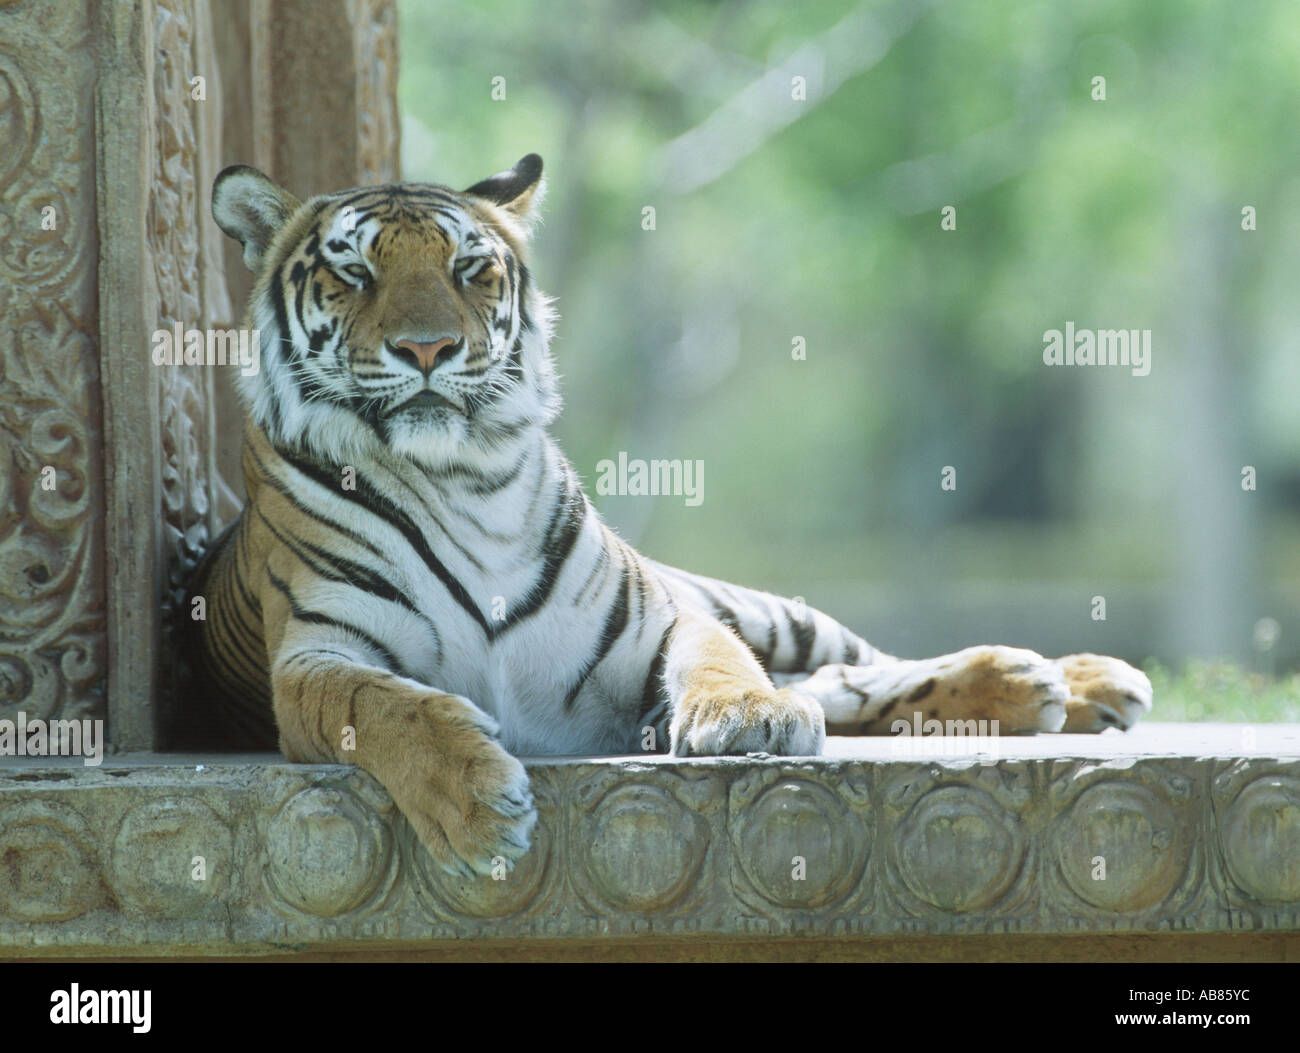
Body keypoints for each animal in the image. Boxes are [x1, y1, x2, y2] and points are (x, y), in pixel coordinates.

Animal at [180, 154, 1149, 878]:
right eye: (354, 272)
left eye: (468, 269)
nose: (429, 348)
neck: (461, 476)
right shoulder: (316, 656)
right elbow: (388, 706)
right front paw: (475, 802)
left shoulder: (658, 613)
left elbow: (721, 660)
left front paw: (747, 719)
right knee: (839, 685)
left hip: (766, 607)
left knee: (852, 665)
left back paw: (1069, 680)